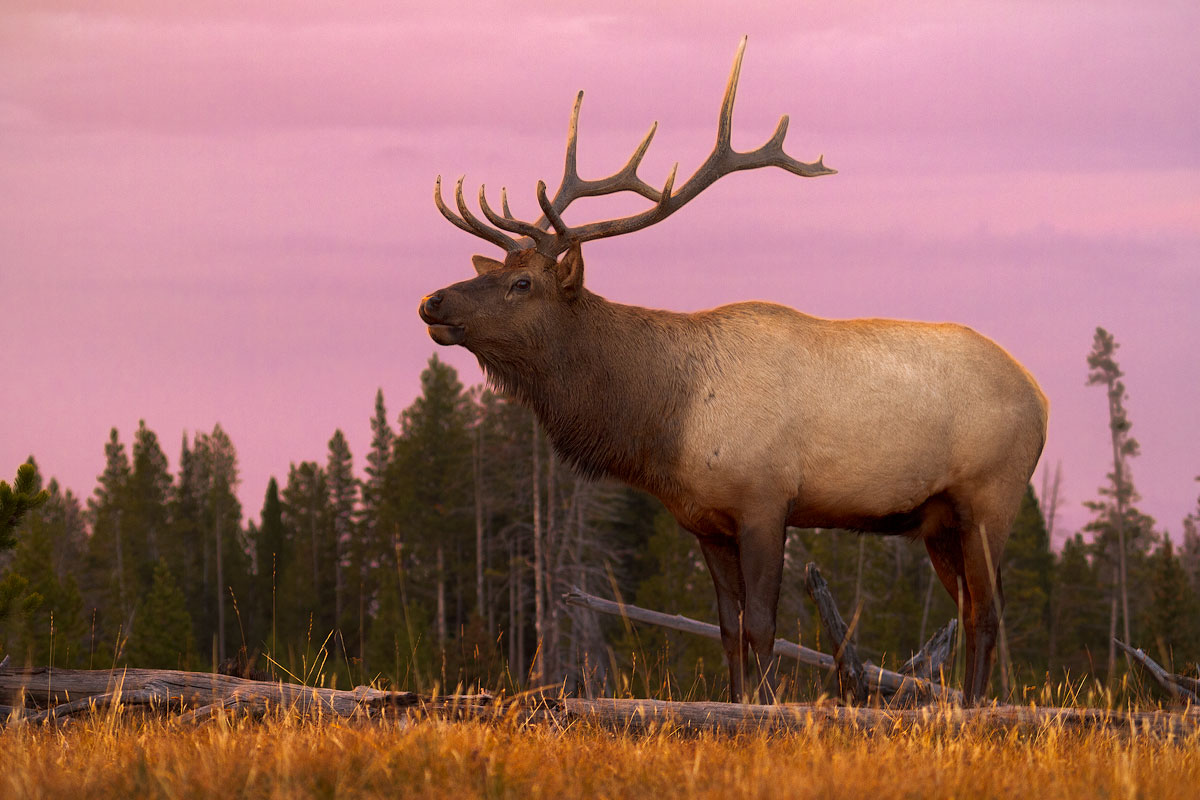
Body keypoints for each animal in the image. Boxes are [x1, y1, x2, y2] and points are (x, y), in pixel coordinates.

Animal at [417, 37, 1046, 705]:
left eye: (522, 284)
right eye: (493, 272)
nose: (433, 301)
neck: (666, 422)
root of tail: (1041, 397)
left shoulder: (765, 498)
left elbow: (764, 627)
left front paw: (766, 707)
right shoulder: (706, 521)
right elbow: (727, 630)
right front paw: (739, 702)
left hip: (991, 497)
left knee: (986, 614)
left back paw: (976, 707)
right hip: (939, 521)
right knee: (971, 608)